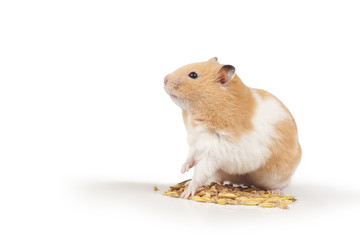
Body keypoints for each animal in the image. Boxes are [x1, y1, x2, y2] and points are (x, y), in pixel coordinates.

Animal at [163, 57, 300, 198]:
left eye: (193, 75)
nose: (164, 78)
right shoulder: (195, 142)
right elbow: (190, 156)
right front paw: (183, 170)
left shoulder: (213, 153)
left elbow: (200, 173)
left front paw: (185, 194)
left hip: (276, 175)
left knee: (278, 185)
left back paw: (275, 192)